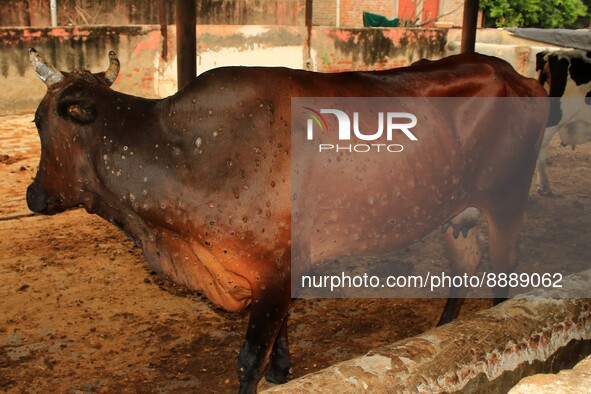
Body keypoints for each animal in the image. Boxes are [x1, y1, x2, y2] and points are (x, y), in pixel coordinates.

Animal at [26, 50, 544, 394]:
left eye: (37, 121)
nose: (33, 195)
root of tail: (515, 74)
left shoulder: (275, 268)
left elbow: (248, 358)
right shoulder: (279, 266)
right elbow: (281, 330)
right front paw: (283, 368)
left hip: (507, 201)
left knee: (503, 274)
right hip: (455, 211)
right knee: (463, 268)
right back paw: (442, 334)